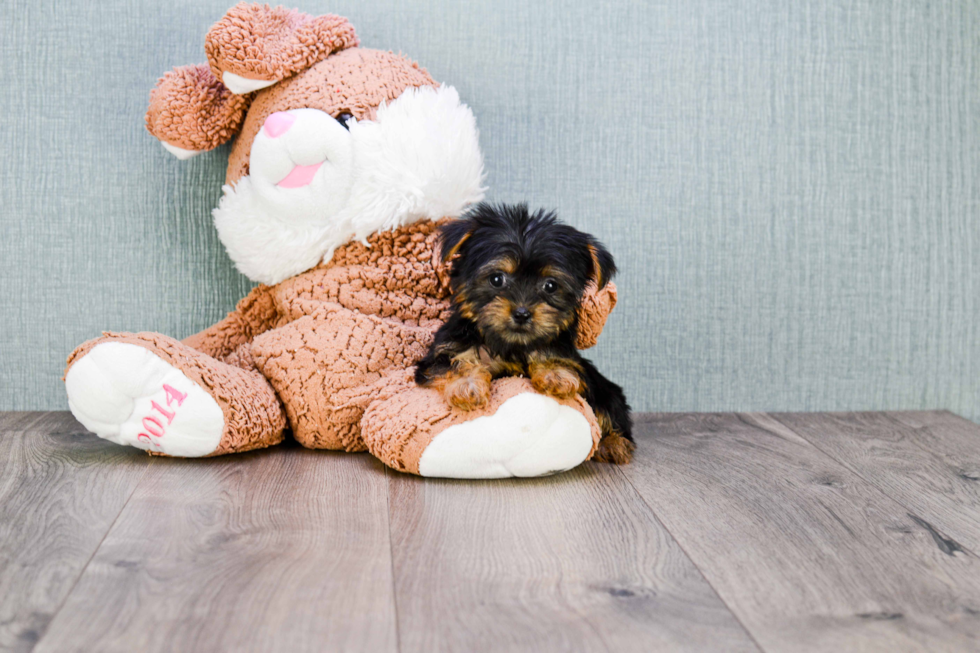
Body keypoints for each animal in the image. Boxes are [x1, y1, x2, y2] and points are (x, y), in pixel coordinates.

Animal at [416, 201, 636, 460]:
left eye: (550, 285)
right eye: (497, 279)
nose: (521, 313)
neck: (511, 344)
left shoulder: (572, 361)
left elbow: (554, 355)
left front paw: (554, 373)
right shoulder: (443, 350)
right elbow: (453, 363)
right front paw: (467, 385)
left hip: (606, 391)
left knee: (610, 409)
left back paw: (614, 444)